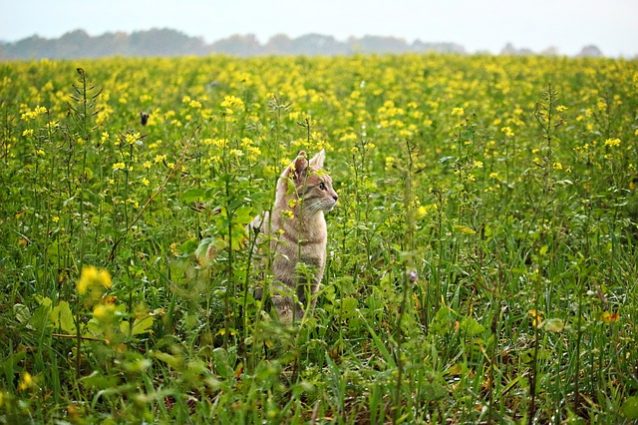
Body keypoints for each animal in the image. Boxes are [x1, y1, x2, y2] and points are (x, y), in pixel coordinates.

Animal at [251, 149, 340, 322]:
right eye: (321, 186)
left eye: (331, 184)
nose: (336, 196)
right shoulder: (283, 281)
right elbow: (286, 313)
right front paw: (290, 328)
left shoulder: (313, 277)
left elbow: (307, 308)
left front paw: (305, 325)